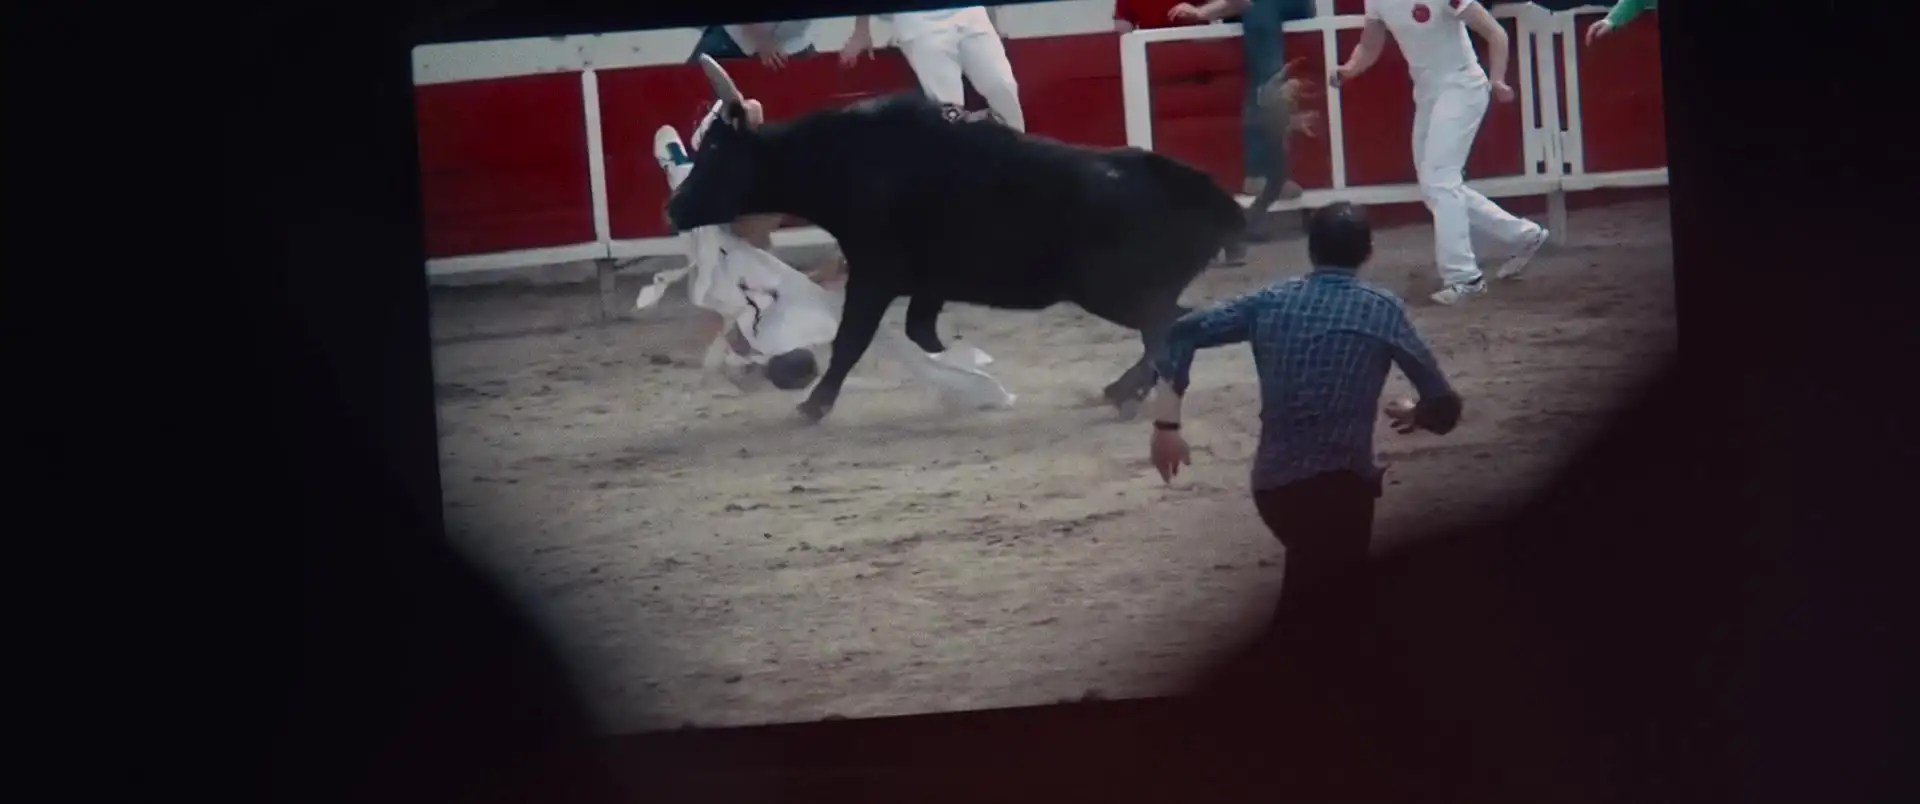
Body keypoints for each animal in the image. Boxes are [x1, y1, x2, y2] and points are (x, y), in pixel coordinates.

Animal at [667, 55, 1248, 424]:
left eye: (716, 152)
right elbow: (919, 330)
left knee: (1168, 324)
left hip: (1113, 291)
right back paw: (1125, 392)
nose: (672, 209)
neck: (844, 160)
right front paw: (962, 368)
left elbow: (852, 338)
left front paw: (815, 405)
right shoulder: (927, 283)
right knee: (1167, 328)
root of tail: (1206, 191)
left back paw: (1121, 393)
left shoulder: (874, 273)